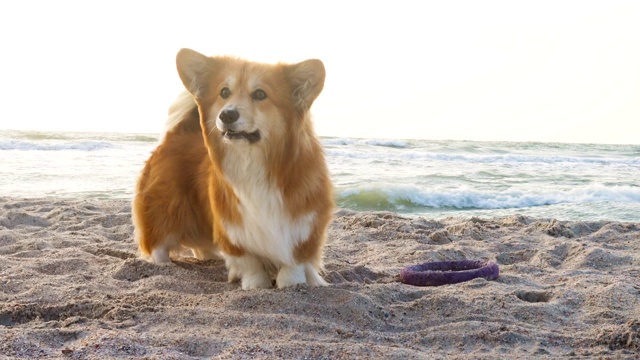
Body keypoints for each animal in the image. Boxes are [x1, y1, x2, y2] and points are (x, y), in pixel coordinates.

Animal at [131, 48, 336, 290]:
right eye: (224, 92)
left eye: (260, 94)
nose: (226, 115)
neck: (253, 164)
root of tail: (174, 135)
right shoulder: (234, 230)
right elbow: (251, 266)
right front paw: (255, 285)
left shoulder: (304, 230)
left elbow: (292, 268)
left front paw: (292, 284)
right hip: (164, 212)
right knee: (157, 246)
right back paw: (161, 266)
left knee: (201, 248)